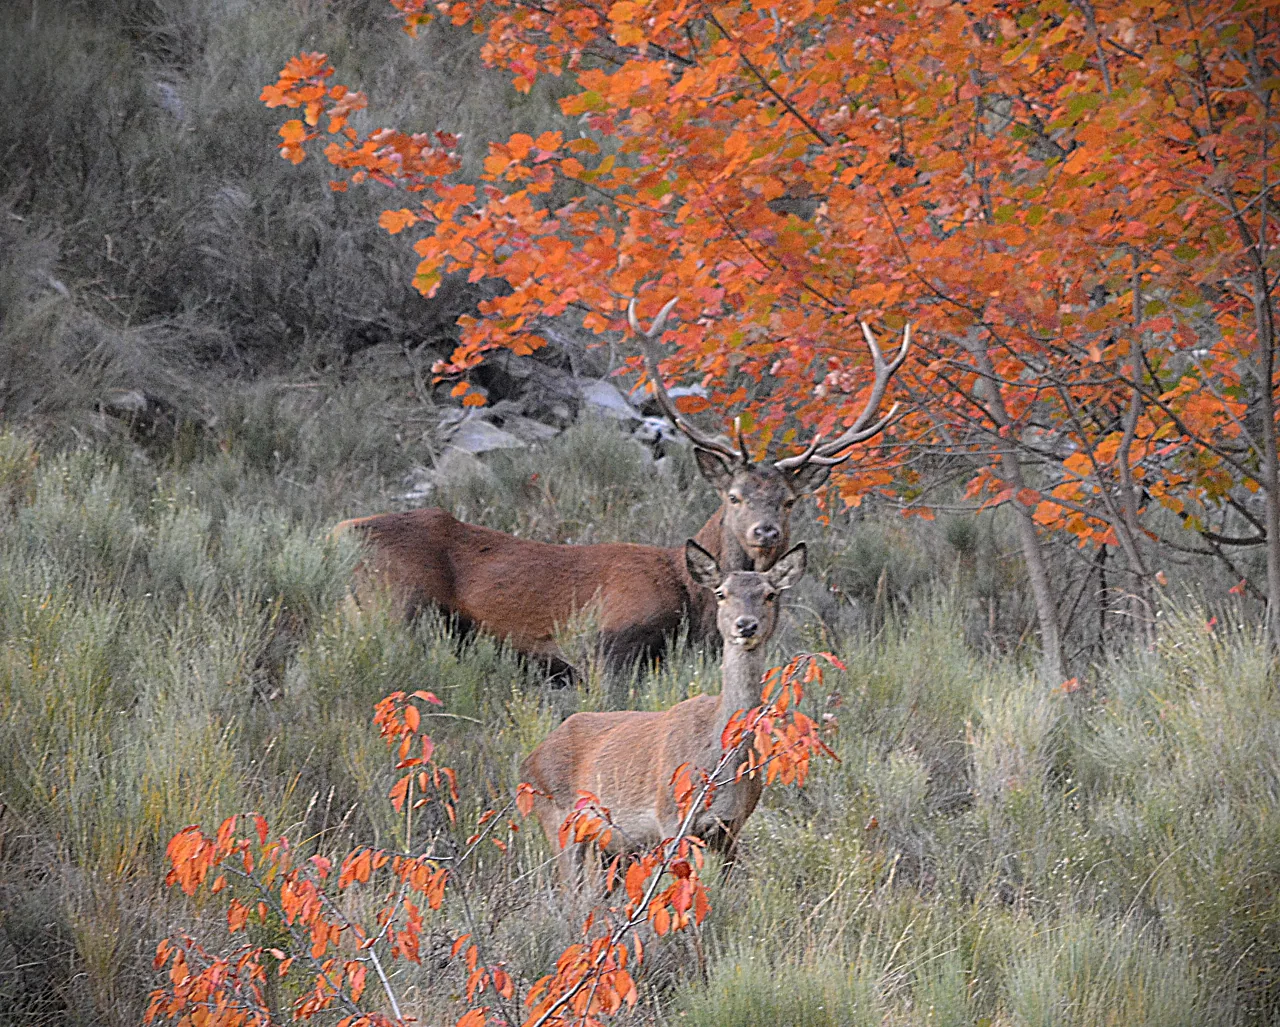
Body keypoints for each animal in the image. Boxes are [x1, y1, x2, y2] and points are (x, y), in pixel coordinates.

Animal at [334, 300, 908, 675]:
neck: (695, 605)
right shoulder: (603, 644)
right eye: (734, 496)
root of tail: (338, 533)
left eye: (790, 500)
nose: (765, 532)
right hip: (394, 606)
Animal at [519, 538, 807, 884]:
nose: (746, 625)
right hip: (559, 823)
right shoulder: (670, 818)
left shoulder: (731, 827)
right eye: (721, 593)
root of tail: (528, 760)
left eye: (770, 593)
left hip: (612, 849)